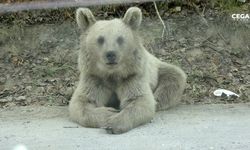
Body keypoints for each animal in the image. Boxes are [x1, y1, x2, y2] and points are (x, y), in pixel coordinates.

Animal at [69, 6, 187, 134]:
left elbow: (140, 100)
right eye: (100, 39)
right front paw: (108, 113)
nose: (111, 54)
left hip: (159, 70)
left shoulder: (132, 76)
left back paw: (158, 99)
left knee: (172, 80)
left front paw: (113, 123)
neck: (112, 73)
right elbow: (81, 102)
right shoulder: (94, 77)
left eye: (120, 39)